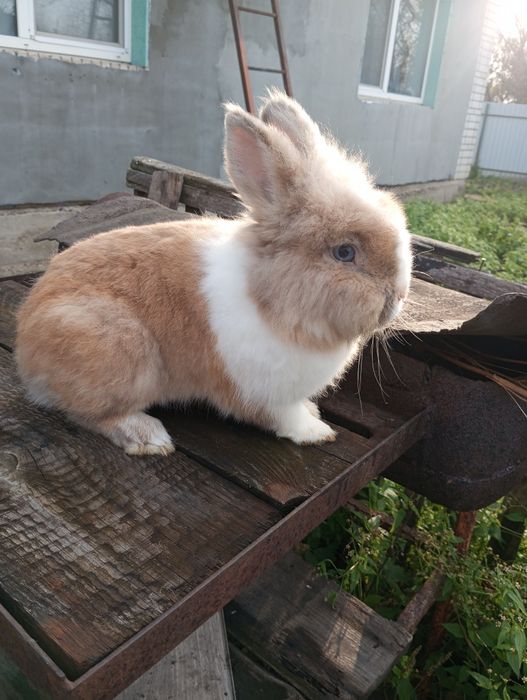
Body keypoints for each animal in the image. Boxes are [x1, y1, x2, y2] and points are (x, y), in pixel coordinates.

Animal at [15, 90, 412, 456]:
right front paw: (316, 432)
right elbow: (284, 418)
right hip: (118, 350)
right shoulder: (260, 391)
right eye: (345, 252)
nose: (399, 296)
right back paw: (149, 437)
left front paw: (314, 413)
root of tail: (26, 349)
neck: (270, 299)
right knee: (90, 414)